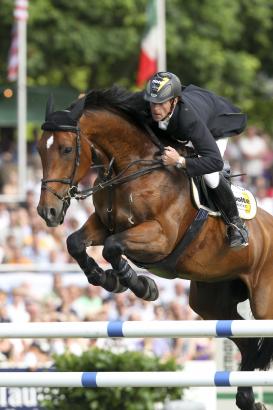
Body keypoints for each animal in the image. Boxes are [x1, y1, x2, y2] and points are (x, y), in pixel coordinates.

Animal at [36, 87, 272, 410]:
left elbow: (112, 247)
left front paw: (140, 285)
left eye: (67, 150)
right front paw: (106, 278)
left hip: (263, 303)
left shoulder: (159, 237)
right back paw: (247, 399)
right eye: (38, 149)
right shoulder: (103, 223)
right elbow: (76, 242)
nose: (47, 212)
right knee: (248, 342)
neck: (132, 167)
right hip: (211, 302)